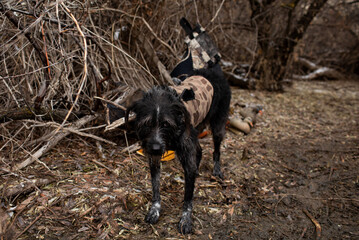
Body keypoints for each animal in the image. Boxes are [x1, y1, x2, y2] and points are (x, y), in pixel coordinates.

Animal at [125, 64, 231, 234]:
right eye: (147, 124)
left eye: (166, 124)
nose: (155, 148)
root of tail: (213, 69)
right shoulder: (154, 159)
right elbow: (156, 187)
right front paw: (155, 209)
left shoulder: (185, 150)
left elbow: (188, 195)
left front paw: (186, 219)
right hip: (196, 130)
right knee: (199, 150)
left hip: (218, 125)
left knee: (216, 150)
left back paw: (216, 170)